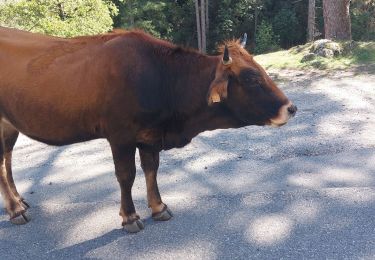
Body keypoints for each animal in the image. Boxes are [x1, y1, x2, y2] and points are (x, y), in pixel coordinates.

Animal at [0, 27, 296, 233]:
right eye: (252, 78)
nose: (291, 108)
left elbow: (151, 169)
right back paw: (15, 211)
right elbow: (126, 176)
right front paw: (130, 217)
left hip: (9, 126)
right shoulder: (120, 135)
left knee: (7, 160)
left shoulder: (150, 136)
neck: (162, 78)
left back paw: (20, 201)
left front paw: (159, 207)